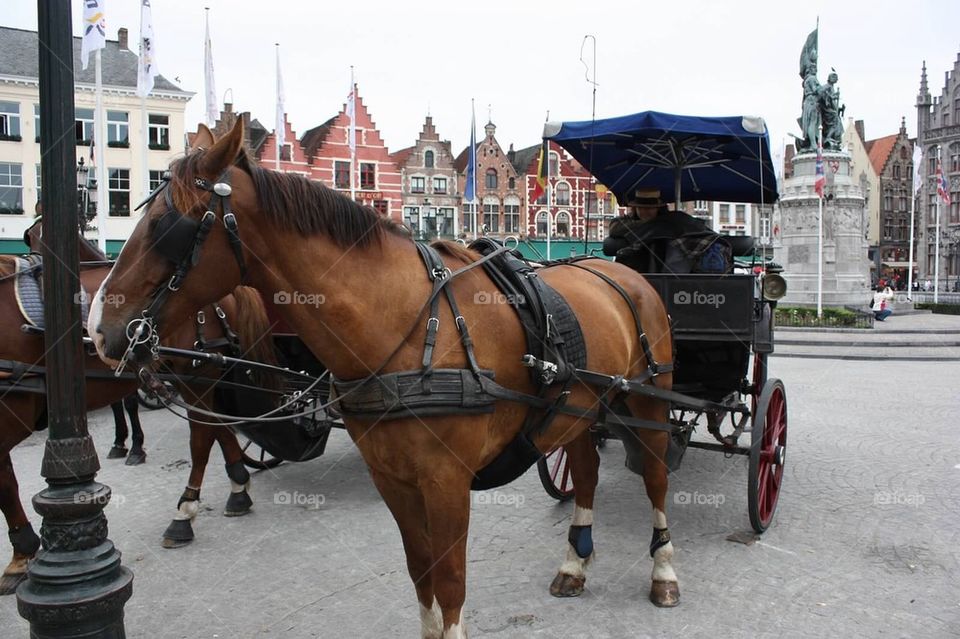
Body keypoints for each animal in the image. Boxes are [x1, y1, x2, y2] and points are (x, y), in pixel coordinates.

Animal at [0, 225, 278, 595]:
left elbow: (6, 485)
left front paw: (22, 554)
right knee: (215, 425)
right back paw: (238, 488)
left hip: (197, 372)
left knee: (202, 435)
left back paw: (185, 514)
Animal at [90, 119, 677, 638]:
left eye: (167, 225)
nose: (97, 327)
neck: (411, 327)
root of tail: (619, 271)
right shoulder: (393, 479)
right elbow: (421, 576)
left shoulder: (446, 481)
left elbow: (451, 582)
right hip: (579, 411)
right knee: (586, 474)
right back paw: (575, 564)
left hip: (648, 405)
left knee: (655, 480)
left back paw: (664, 572)